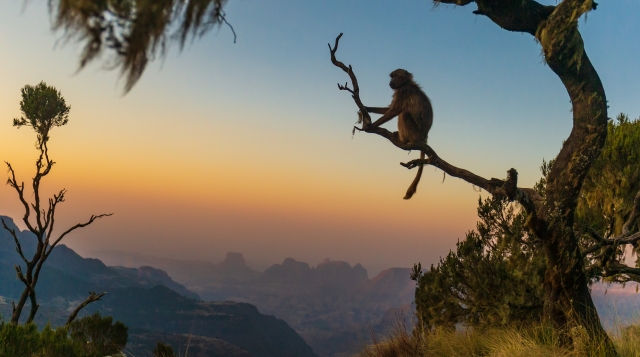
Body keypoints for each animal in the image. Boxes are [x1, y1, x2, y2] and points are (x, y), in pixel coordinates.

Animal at [364, 68, 436, 199]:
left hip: (415, 133)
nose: (390, 82)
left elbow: (394, 111)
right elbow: (389, 108)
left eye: (395, 76)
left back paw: (403, 140)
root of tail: (425, 137)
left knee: (404, 113)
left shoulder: (403, 92)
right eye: (391, 77)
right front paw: (367, 108)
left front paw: (372, 126)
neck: (407, 83)